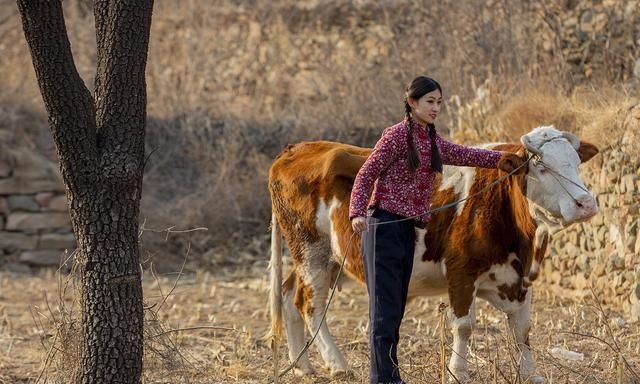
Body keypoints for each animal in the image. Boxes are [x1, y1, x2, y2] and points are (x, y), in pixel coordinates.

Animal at [264, 126, 600, 380]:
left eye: (576, 163)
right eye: (542, 167)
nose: (586, 203)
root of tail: (295, 149)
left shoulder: (522, 279)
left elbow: (522, 330)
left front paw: (531, 373)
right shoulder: (461, 272)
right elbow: (464, 326)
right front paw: (458, 372)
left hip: (328, 259)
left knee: (290, 295)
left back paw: (302, 365)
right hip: (312, 253)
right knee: (310, 305)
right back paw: (337, 364)